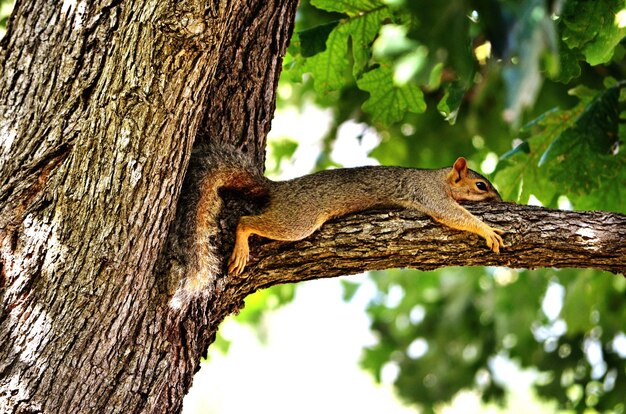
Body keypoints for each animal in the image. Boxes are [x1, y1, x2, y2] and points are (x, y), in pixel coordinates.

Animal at [169, 144, 502, 296]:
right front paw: (487, 230)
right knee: (246, 221)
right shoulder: (430, 194)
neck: (439, 178)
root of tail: (280, 189)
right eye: (481, 185)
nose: (499, 200)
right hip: (298, 220)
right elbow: (452, 214)